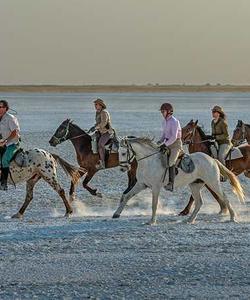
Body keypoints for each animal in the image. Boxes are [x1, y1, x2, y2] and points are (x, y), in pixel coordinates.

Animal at [113, 137, 244, 224]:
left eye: (123, 153)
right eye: (118, 153)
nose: (122, 168)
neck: (148, 161)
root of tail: (212, 159)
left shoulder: (155, 187)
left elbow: (154, 204)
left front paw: (152, 221)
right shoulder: (141, 184)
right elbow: (126, 196)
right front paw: (116, 214)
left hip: (213, 183)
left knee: (224, 197)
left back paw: (233, 218)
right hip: (195, 185)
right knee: (199, 202)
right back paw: (189, 220)